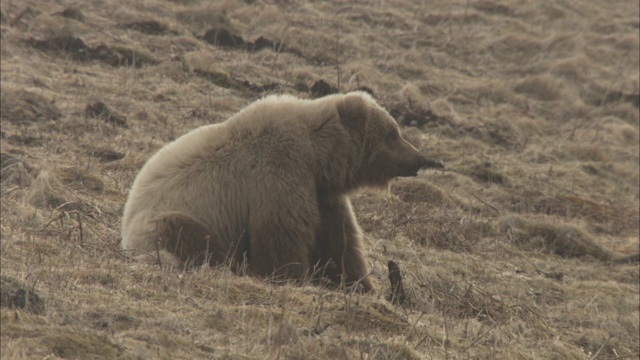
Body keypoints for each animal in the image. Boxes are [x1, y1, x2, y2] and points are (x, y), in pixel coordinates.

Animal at [121, 91, 440, 292]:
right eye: (393, 134)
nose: (420, 159)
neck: (318, 156)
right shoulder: (279, 174)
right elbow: (282, 235)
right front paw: (289, 278)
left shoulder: (322, 194)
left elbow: (339, 244)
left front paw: (360, 285)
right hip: (172, 219)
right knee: (186, 234)